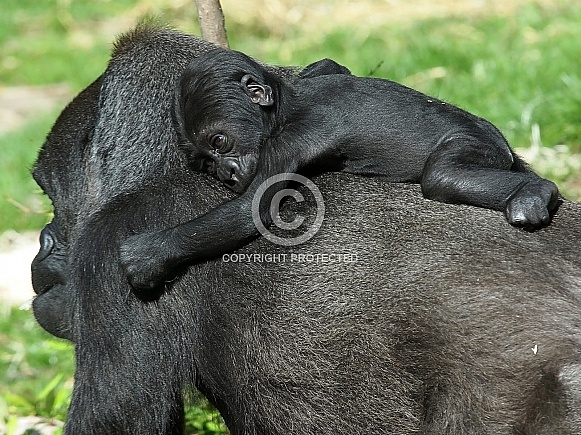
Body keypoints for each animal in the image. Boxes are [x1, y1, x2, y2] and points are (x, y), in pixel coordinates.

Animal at [120, 49, 560, 292]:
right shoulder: (316, 76)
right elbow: (331, 64)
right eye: (205, 162)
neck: (285, 104)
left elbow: (251, 209)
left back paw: (535, 192)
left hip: (478, 144)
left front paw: (151, 254)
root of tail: (502, 143)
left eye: (219, 142)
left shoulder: (288, 141)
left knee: (443, 175)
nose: (225, 171)